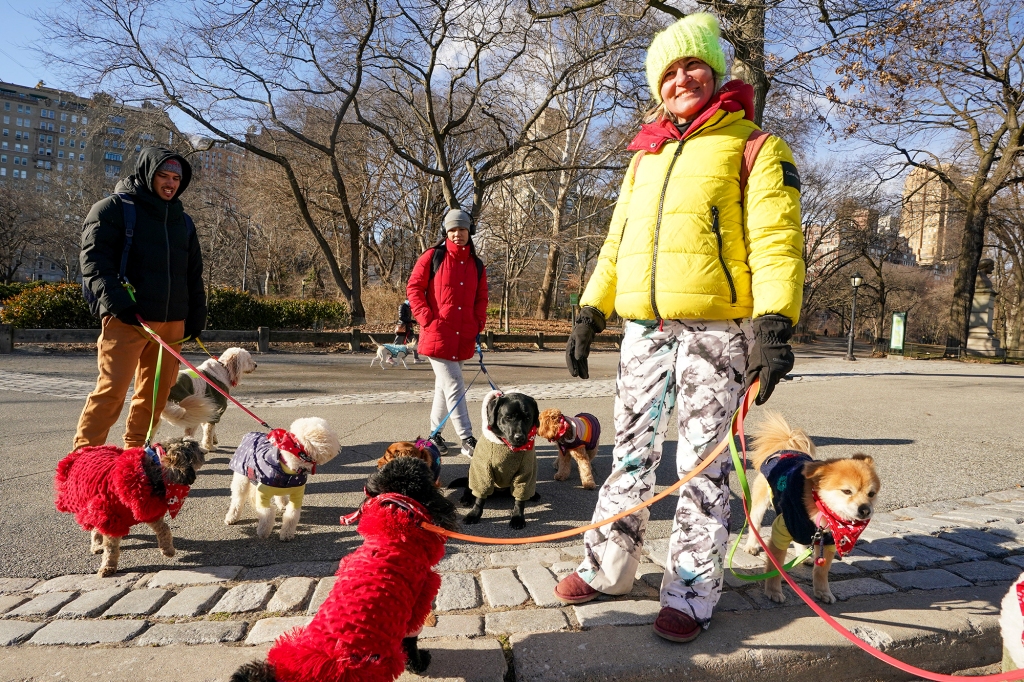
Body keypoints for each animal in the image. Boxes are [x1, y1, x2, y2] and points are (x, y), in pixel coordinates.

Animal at [55, 438, 205, 577]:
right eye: (193, 447)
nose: (204, 451)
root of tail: (85, 451)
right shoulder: (111, 518)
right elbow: (111, 548)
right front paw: (108, 566)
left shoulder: (148, 509)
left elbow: (164, 529)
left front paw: (167, 549)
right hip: (93, 506)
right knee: (94, 527)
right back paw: (97, 545)